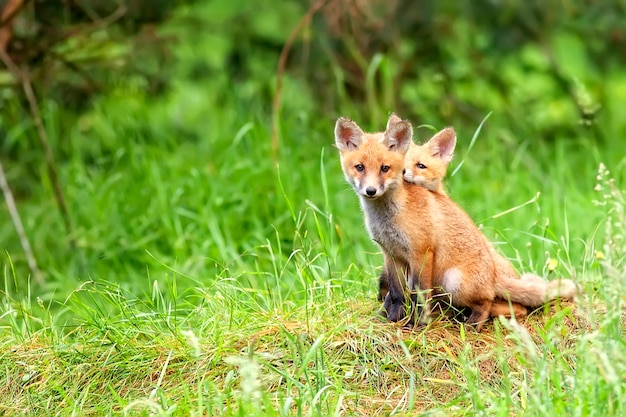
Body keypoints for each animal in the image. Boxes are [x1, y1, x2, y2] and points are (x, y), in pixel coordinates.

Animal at [332, 114, 576, 328]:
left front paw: (416, 325)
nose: (371, 191)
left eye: (385, 168)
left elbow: (419, 295)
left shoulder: (422, 252)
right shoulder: (391, 254)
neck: (389, 217)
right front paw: (391, 320)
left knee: (489, 302)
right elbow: (396, 293)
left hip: (453, 282)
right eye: (360, 167)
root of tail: (493, 275)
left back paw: (472, 324)